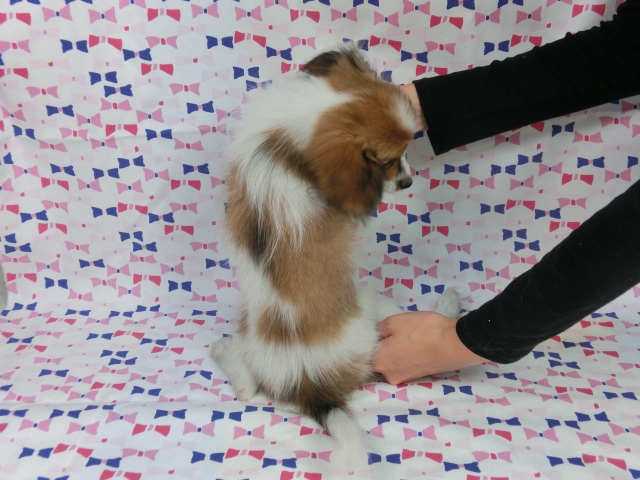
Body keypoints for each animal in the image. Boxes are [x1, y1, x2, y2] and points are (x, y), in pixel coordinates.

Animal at [211, 47, 461, 465]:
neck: (280, 144)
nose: (408, 181)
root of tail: (311, 386)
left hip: (250, 334)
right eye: (385, 161)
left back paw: (224, 350)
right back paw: (449, 303)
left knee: (247, 385)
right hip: (374, 306)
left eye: (406, 151)